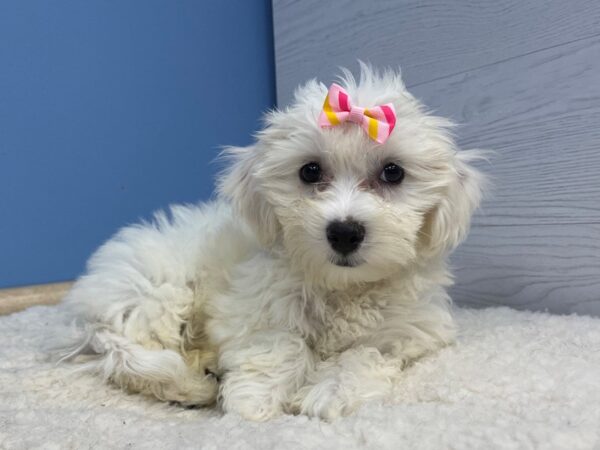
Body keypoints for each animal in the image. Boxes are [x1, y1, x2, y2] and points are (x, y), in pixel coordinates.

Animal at [59, 65, 482, 420]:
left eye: (393, 172)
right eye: (309, 171)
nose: (344, 232)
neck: (342, 288)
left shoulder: (411, 330)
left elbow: (368, 351)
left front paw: (331, 391)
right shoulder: (252, 307)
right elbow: (279, 343)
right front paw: (255, 401)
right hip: (159, 291)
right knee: (134, 355)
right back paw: (189, 385)